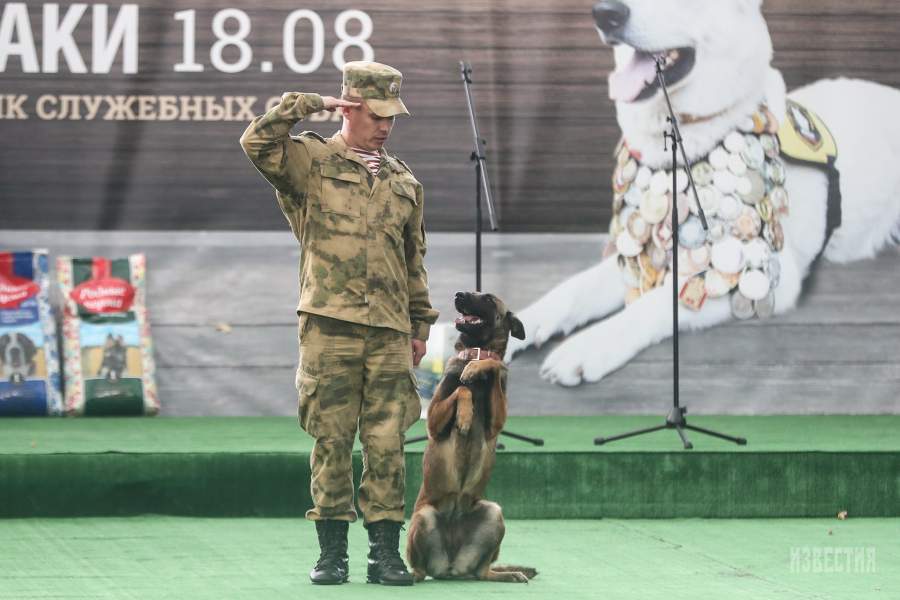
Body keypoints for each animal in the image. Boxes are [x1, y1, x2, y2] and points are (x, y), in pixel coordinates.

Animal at [406, 291, 536, 583]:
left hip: (494, 513)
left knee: (483, 572)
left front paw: (479, 369)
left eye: (487, 298)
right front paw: (465, 415)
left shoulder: (495, 425)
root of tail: (450, 569)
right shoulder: (434, 420)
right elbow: (461, 391)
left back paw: (509, 574)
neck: (475, 351)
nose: (458, 295)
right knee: (419, 569)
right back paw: (410, 576)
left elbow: (494, 363)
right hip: (424, 517)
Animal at [506, 0, 900, 386]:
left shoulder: (765, 278)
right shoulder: (644, 254)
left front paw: (591, 344)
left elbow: (656, 303)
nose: (605, 14)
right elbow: (575, 287)